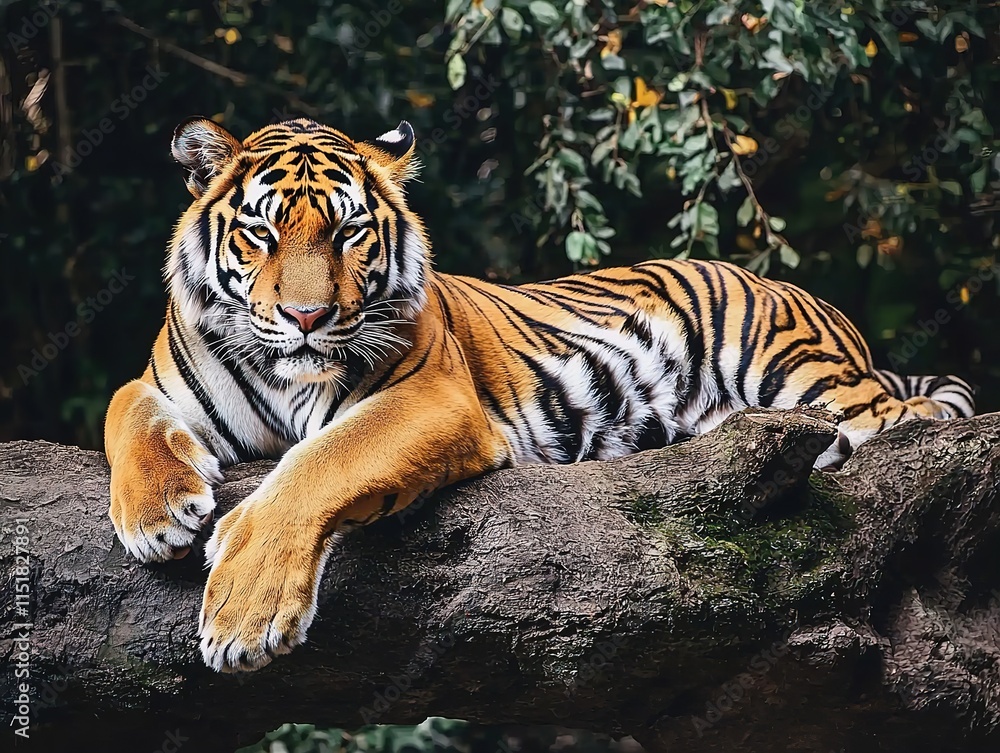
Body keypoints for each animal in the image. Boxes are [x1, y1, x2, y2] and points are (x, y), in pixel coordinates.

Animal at [103, 116, 975, 674]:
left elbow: (320, 463)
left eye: (349, 233)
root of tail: (796, 290)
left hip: (797, 364)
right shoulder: (161, 379)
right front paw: (157, 513)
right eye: (261, 232)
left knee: (895, 414)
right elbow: (124, 404)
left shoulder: (430, 396)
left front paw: (244, 615)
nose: (308, 317)